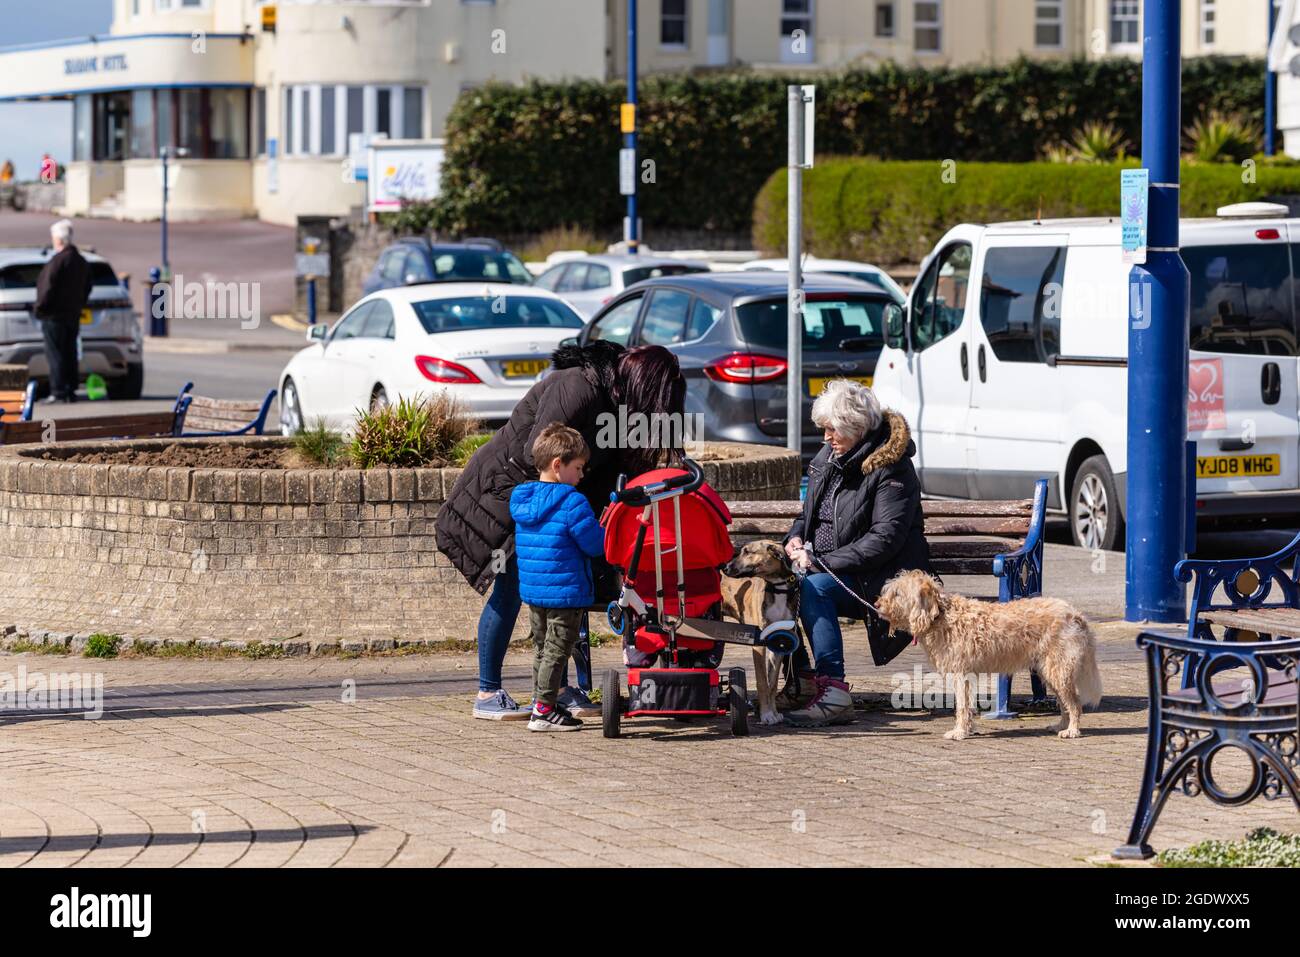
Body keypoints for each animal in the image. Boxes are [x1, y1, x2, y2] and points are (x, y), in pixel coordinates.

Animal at [878, 566, 1102, 738]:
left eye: (897, 594)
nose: (877, 604)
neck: (941, 616)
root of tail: (1075, 614)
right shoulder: (966, 677)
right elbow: (967, 706)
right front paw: (967, 729)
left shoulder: (961, 675)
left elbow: (962, 706)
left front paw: (959, 732)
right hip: (1049, 672)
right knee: (1065, 703)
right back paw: (1060, 726)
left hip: (1058, 671)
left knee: (1074, 703)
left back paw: (1072, 730)